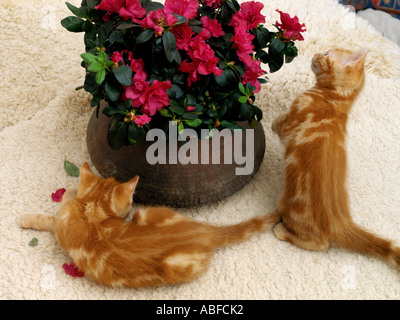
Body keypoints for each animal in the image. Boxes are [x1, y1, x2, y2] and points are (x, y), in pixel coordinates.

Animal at [20, 162, 280, 288]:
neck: (92, 211)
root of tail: (203, 231)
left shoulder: (62, 224)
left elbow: (53, 216)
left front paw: (29, 218)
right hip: (148, 211)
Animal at [272, 48, 400, 268]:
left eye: (326, 54)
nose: (316, 54)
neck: (334, 99)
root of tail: (340, 222)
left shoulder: (292, 119)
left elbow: (279, 124)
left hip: (289, 208)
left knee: (319, 244)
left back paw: (281, 231)